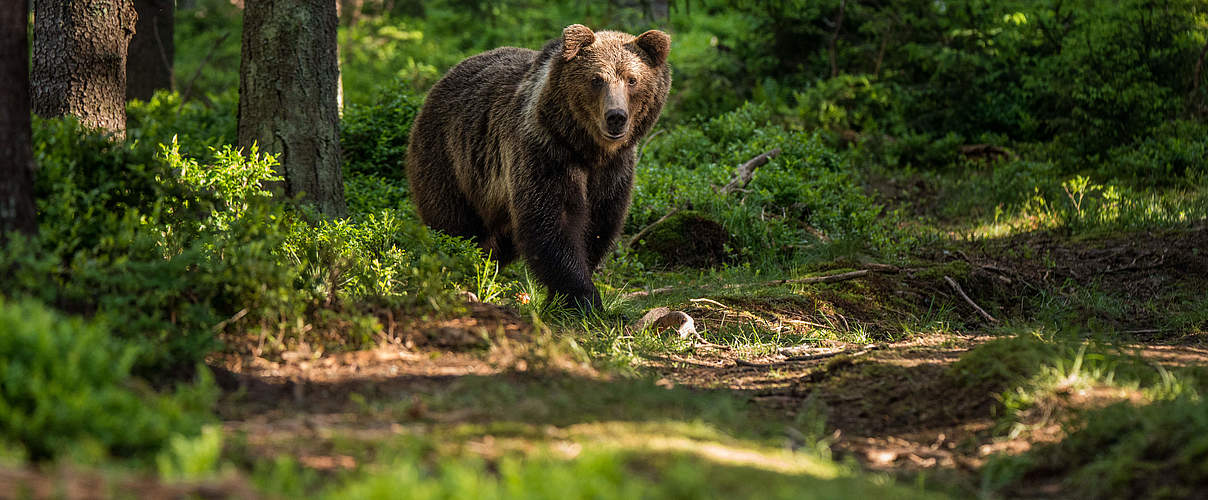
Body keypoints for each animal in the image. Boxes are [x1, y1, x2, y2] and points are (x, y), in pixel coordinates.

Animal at [405, 25, 671, 311]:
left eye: (632, 79)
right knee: (454, 223)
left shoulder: (613, 171)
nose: (616, 117)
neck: (587, 149)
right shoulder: (546, 152)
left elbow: (597, 225)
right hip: (450, 159)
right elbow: (553, 222)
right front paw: (583, 299)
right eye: (597, 79)